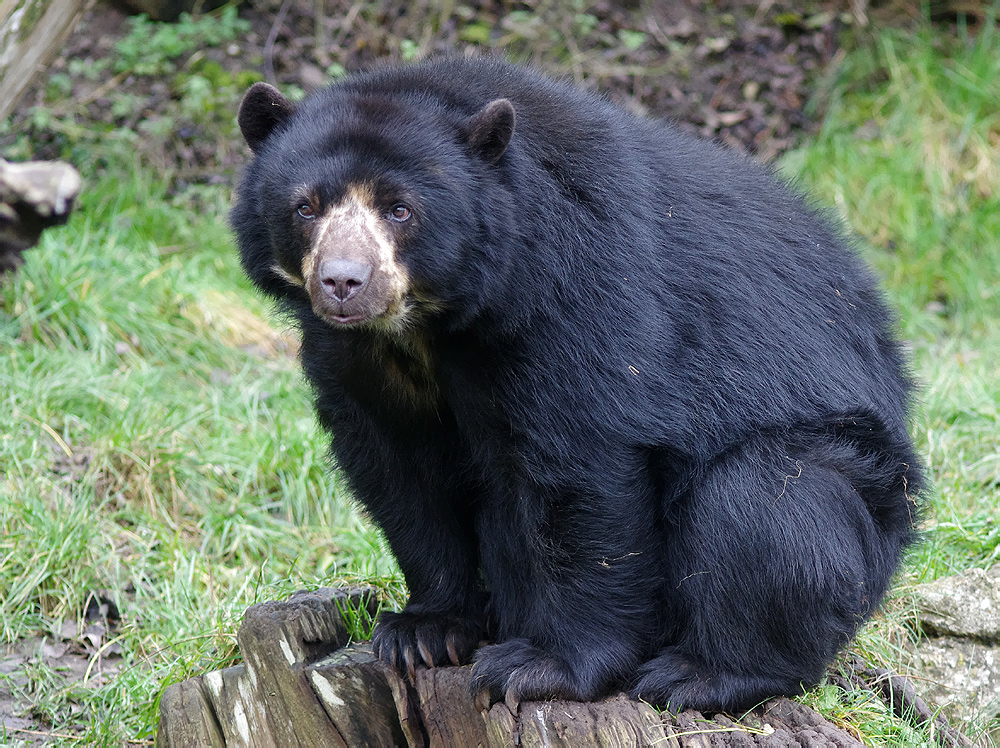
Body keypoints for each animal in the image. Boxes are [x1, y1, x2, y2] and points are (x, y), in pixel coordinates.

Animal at [229, 58, 920, 712]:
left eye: (400, 209)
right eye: (306, 206)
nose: (344, 283)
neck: (430, 324)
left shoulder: (573, 295)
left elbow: (583, 474)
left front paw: (538, 668)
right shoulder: (351, 357)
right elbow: (398, 476)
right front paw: (423, 631)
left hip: (855, 478)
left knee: (765, 503)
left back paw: (700, 674)